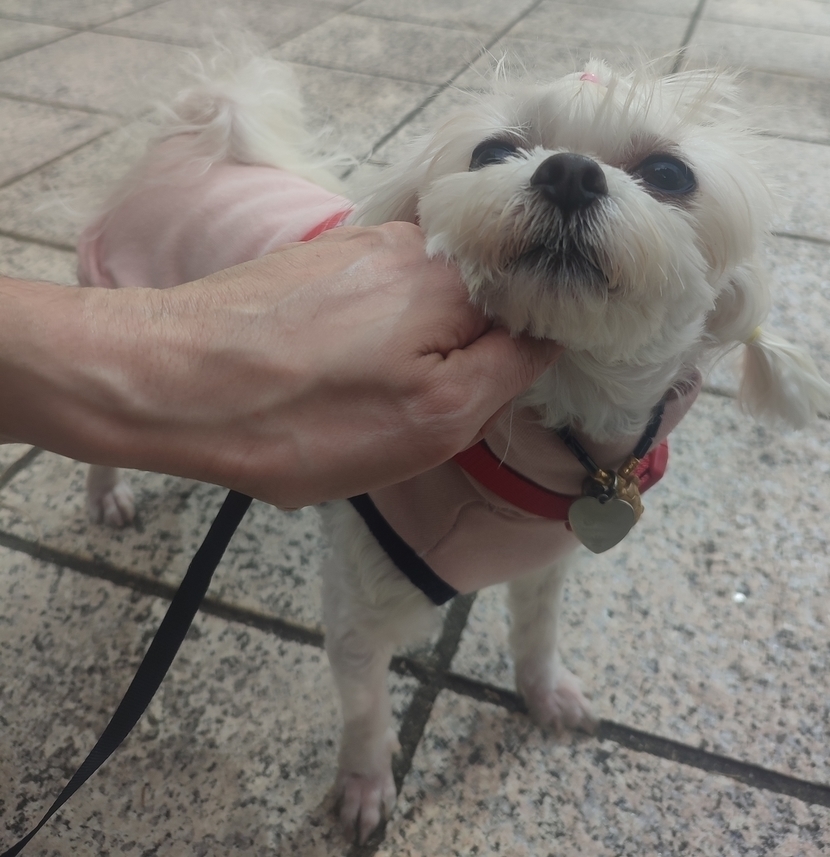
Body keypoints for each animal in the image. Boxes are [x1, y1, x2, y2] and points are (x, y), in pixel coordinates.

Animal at [76, 52, 830, 842]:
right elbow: (366, 708)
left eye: (669, 172)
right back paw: (108, 496)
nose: (568, 172)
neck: (551, 424)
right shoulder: (359, 607)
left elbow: (535, 635)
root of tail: (189, 141)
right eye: (492, 152)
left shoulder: (543, 563)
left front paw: (546, 695)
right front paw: (364, 787)